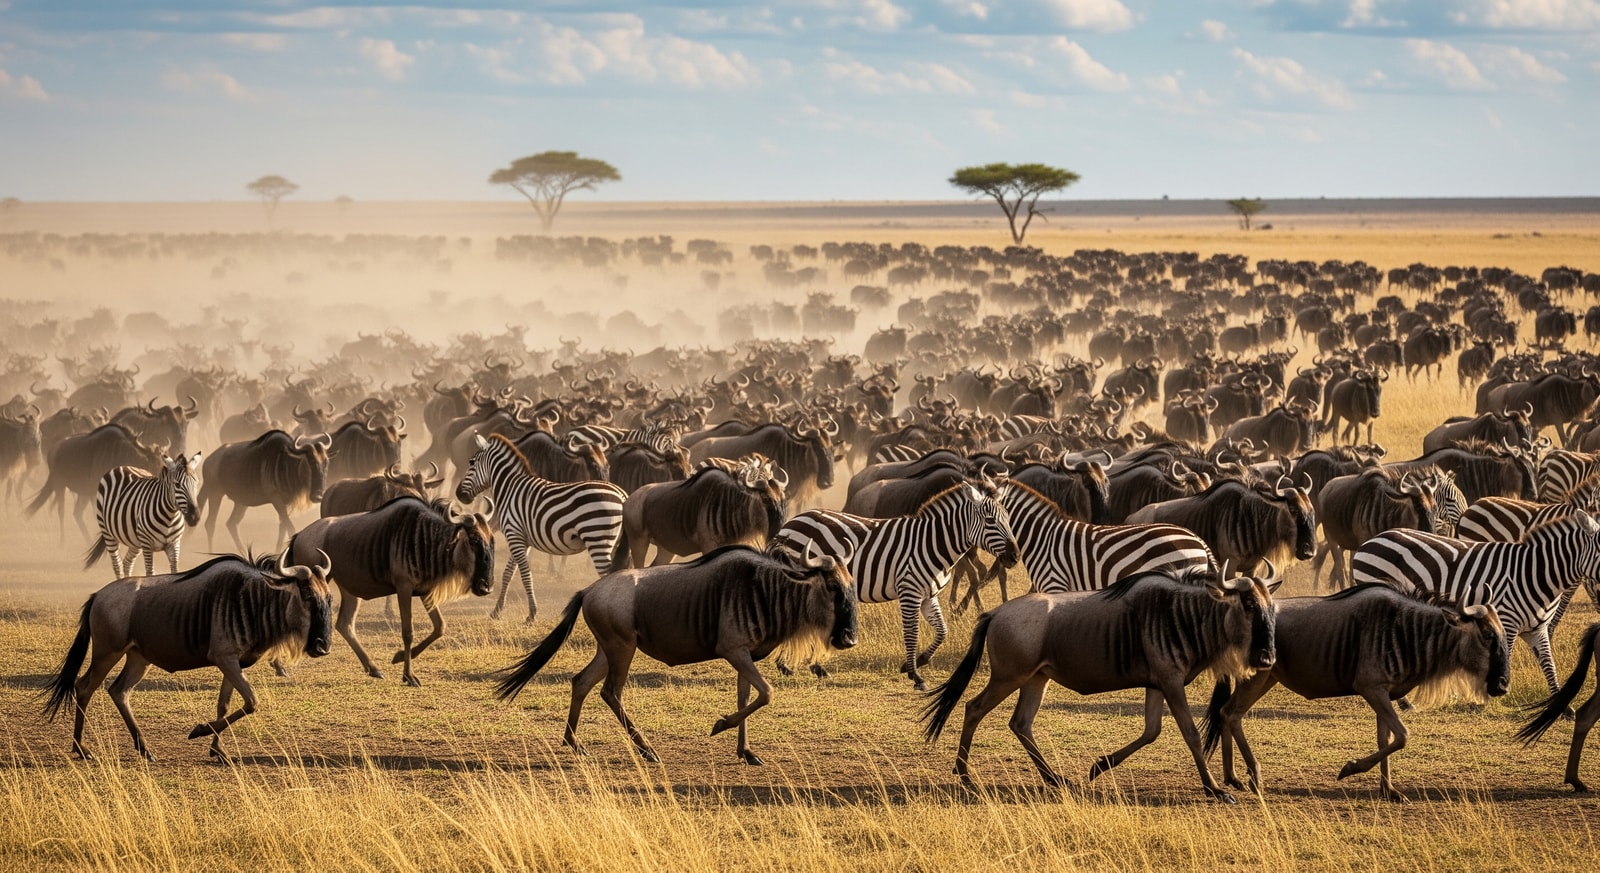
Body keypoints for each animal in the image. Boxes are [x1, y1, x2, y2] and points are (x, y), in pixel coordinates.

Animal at [455, 434, 627, 623]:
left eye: (471, 463)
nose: (458, 494)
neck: (510, 488)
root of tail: (622, 495)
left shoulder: (514, 536)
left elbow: (525, 575)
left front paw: (531, 614)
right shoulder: (521, 539)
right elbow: (508, 573)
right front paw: (497, 611)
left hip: (598, 539)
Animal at [769, 478, 1018, 690]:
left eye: (1008, 519)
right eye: (990, 521)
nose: (1014, 556)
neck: (933, 543)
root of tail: (791, 522)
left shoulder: (929, 595)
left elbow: (942, 631)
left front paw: (918, 661)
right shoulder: (910, 591)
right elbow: (912, 634)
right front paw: (916, 676)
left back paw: (810, 667)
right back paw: (787, 666)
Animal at [1351, 512, 1600, 694]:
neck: (1535, 574)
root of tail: (1368, 542)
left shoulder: (1537, 630)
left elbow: (1549, 665)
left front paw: (1560, 704)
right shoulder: (1506, 622)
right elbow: (1504, 656)